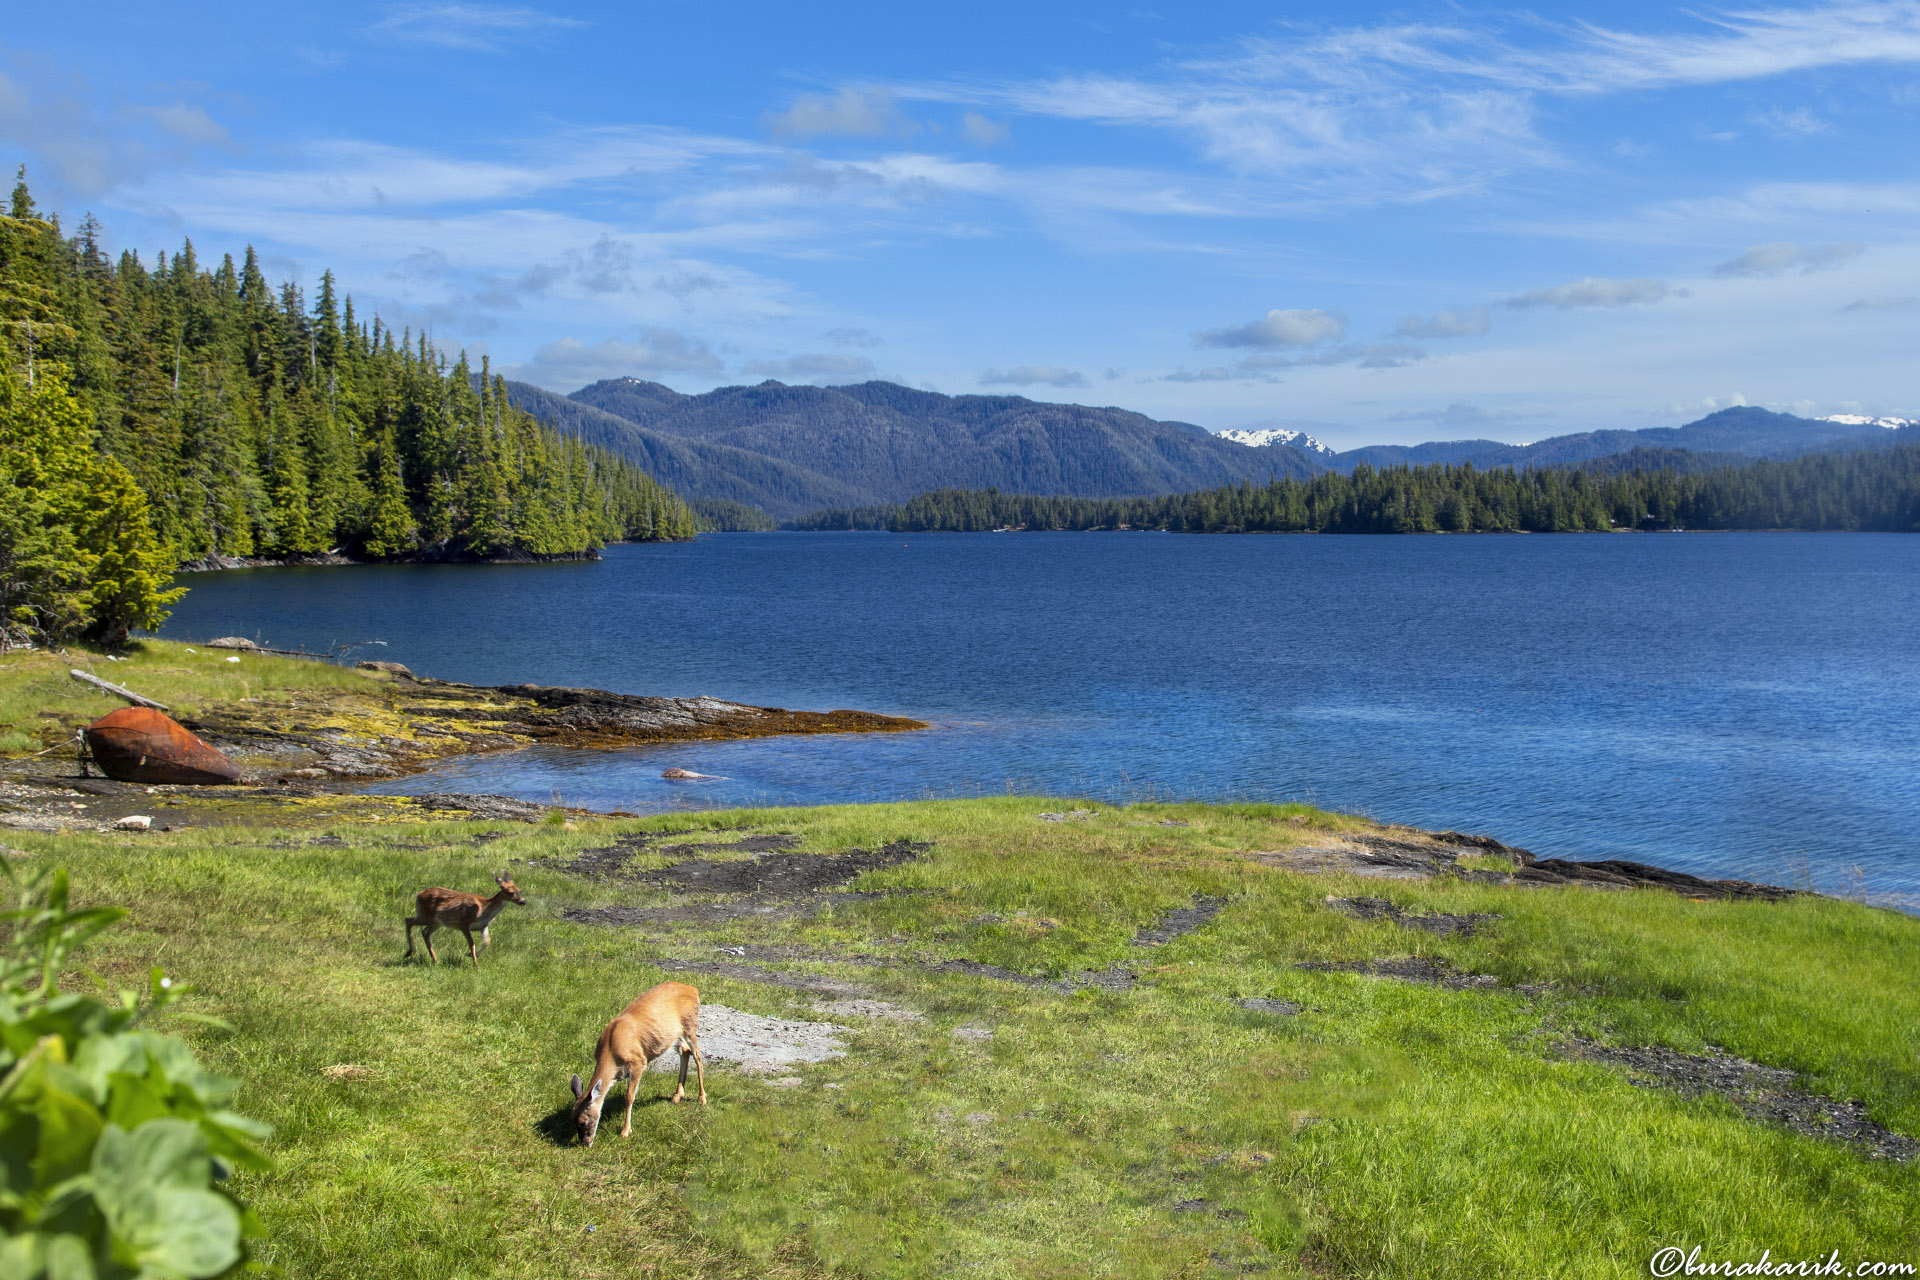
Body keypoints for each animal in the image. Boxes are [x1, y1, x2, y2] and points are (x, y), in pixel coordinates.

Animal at [564, 974, 710, 1143]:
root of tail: (694, 990)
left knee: (698, 1057)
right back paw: (676, 1096)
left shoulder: (638, 1062)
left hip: (690, 1025)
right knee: (685, 1051)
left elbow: (629, 1096)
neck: (611, 1051)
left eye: (583, 1121)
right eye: (572, 1119)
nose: (585, 1143)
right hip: (672, 1035)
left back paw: (702, 1098)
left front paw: (626, 1131)